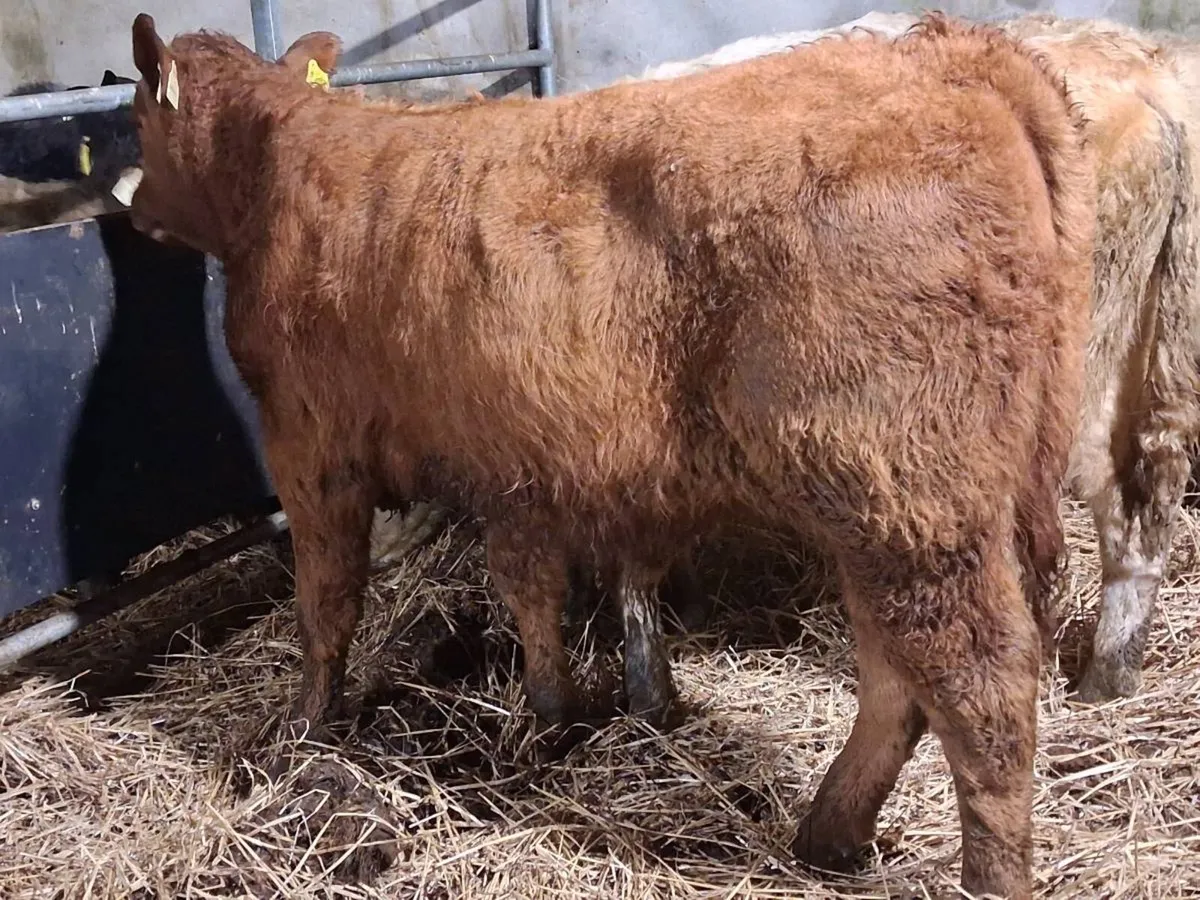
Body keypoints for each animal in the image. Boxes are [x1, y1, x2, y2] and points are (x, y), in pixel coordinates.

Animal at [117, 13, 1094, 897]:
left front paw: (306, 727)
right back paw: (829, 832)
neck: (282, 164)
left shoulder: (309, 443)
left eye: (133, 118)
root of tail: (948, 54)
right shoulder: (517, 457)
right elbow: (531, 585)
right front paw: (555, 714)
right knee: (898, 668)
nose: (129, 210)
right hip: (893, 503)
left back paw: (974, 872)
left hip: (910, 494)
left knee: (980, 683)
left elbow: (325, 604)